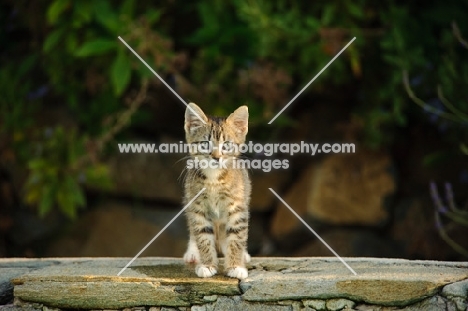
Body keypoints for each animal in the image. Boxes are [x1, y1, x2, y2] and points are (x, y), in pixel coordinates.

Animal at [182, 102, 252, 280]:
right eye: (205, 144)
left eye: (226, 145)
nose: (216, 157)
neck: (214, 179)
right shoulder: (197, 206)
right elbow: (202, 236)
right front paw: (207, 265)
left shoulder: (237, 207)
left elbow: (237, 236)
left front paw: (235, 266)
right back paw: (193, 253)